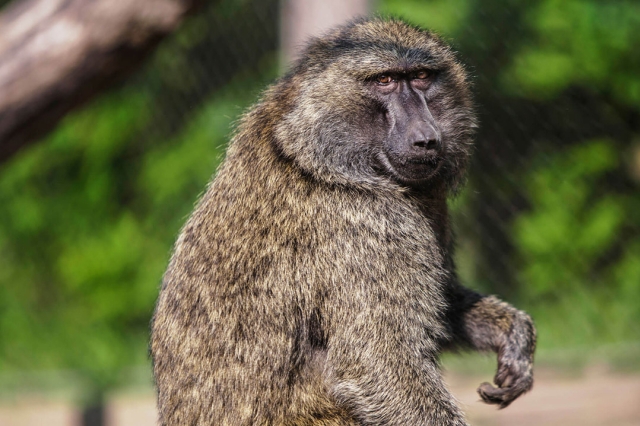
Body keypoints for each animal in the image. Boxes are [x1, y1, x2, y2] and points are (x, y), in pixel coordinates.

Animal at [151, 17, 536, 426]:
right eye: (384, 80)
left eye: (421, 77)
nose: (425, 139)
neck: (312, 151)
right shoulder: (367, 225)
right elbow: (380, 366)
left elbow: (441, 307)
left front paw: (513, 336)